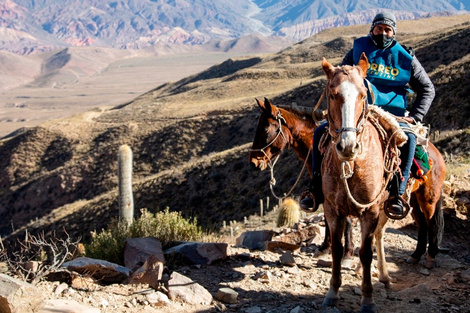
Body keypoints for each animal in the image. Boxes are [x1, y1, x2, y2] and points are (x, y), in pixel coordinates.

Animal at [322, 53, 446, 310]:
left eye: (362, 94)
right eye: (332, 94)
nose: (347, 147)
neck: (352, 166)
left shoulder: (369, 211)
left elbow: (365, 252)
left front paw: (367, 298)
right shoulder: (333, 210)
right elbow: (338, 250)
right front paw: (333, 292)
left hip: (427, 199)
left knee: (430, 223)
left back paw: (428, 259)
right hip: (405, 203)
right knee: (401, 228)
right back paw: (399, 266)